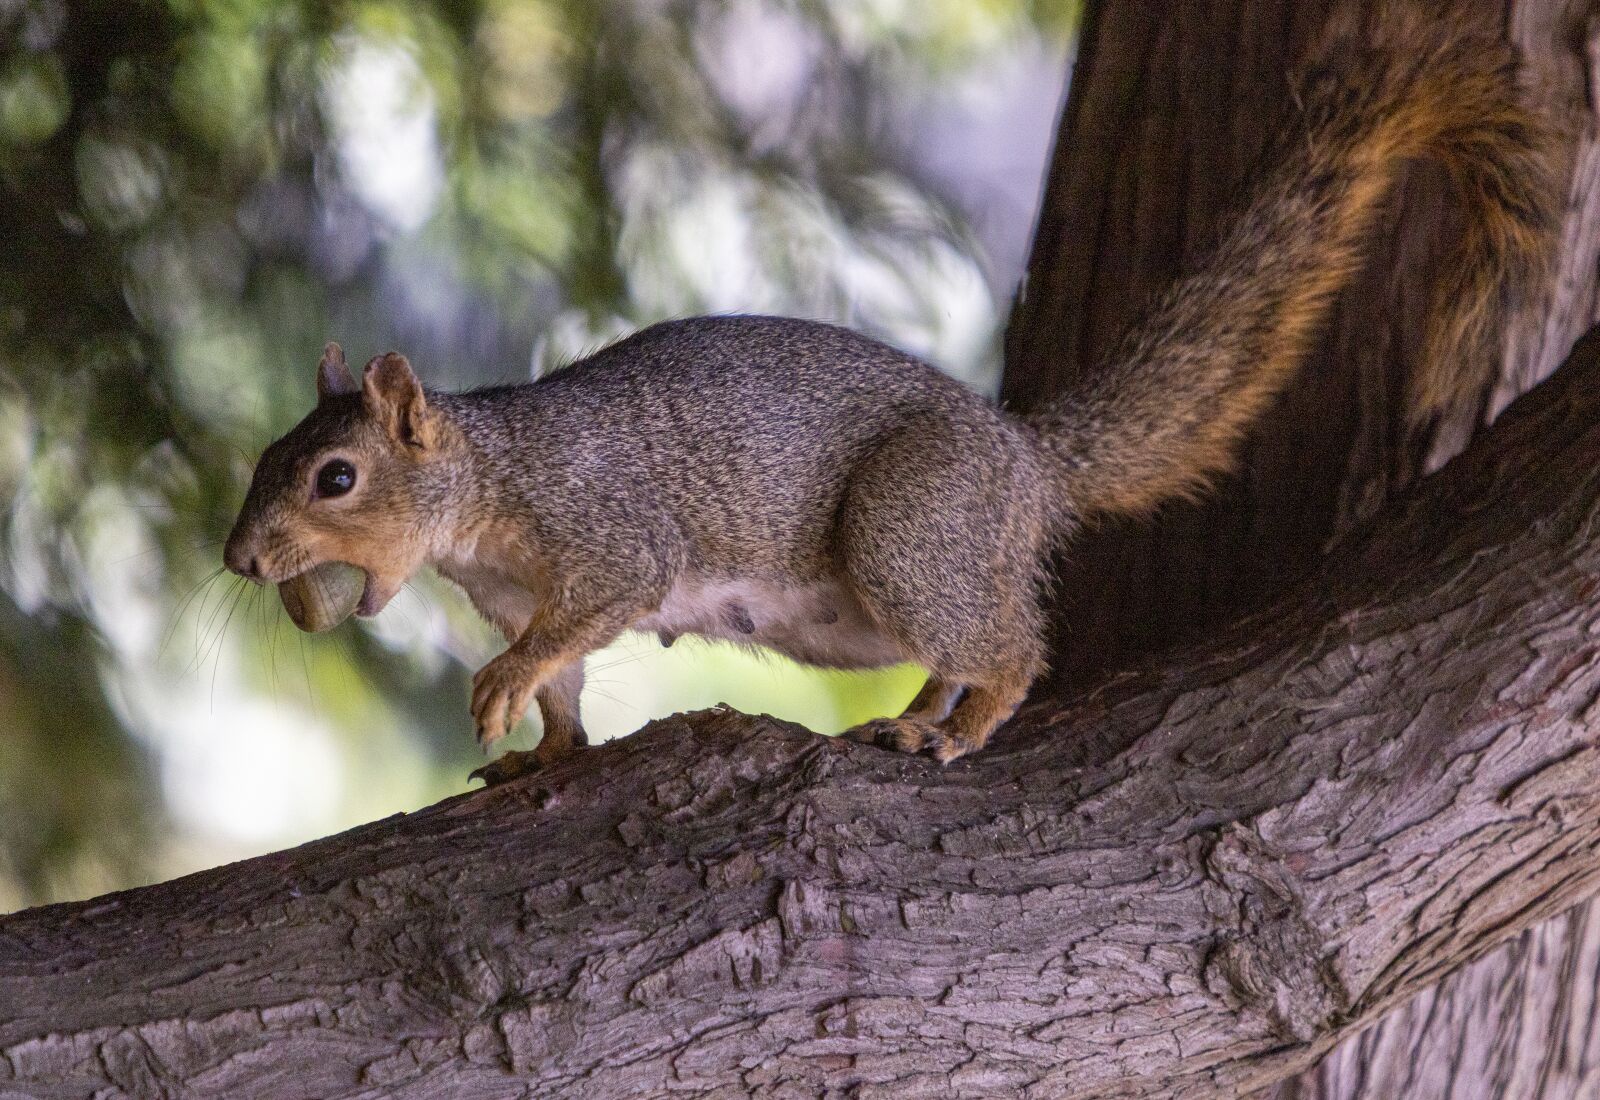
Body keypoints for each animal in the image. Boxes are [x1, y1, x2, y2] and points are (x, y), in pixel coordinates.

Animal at [222, 8, 1548, 783]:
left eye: (335, 475)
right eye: (264, 456)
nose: (239, 560)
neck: (488, 478)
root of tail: (1023, 458)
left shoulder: (601, 533)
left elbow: (587, 613)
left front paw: (498, 691)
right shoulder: (511, 586)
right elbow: (564, 678)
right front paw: (543, 750)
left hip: (908, 525)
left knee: (1010, 647)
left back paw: (954, 724)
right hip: (875, 594)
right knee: (959, 643)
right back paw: (918, 710)